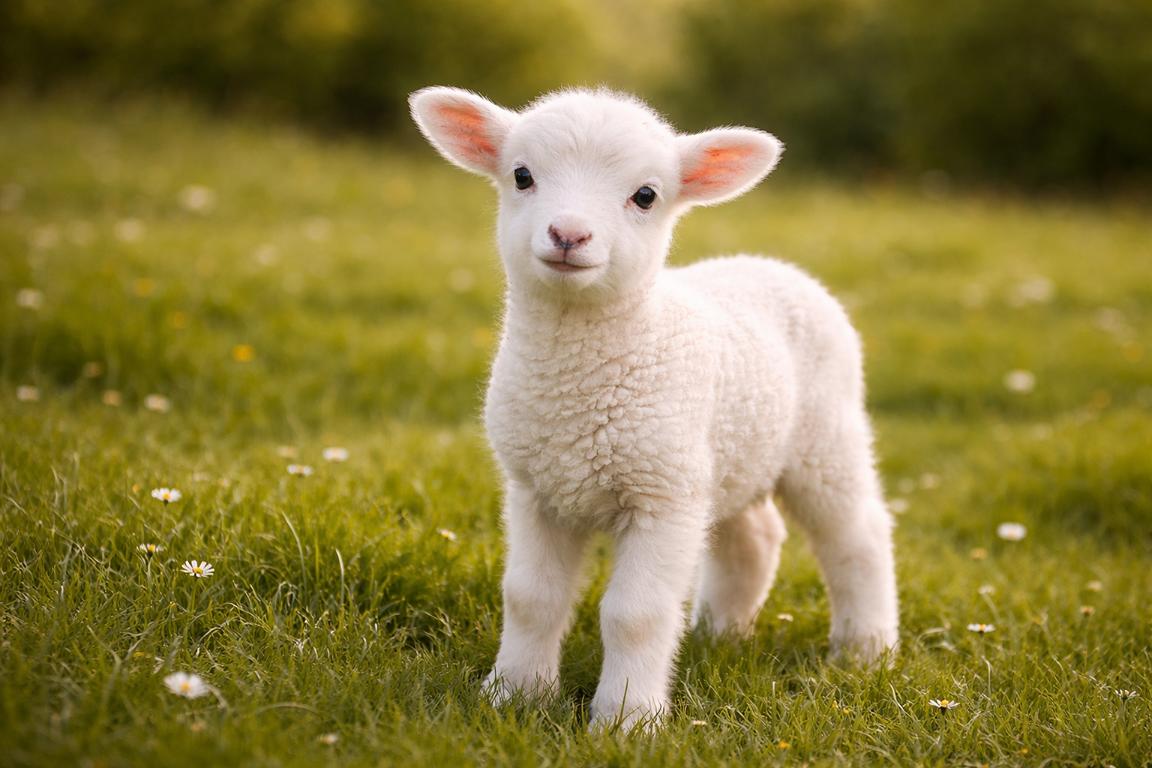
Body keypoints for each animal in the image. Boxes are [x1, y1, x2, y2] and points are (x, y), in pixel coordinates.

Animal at [409, 86, 899, 730]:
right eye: (521, 175)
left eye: (646, 196)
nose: (569, 234)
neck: (577, 387)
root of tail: (772, 264)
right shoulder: (539, 490)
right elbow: (530, 598)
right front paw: (513, 694)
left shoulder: (660, 497)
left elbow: (633, 614)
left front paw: (626, 720)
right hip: (722, 455)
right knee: (753, 537)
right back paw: (720, 634)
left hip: (824, 438)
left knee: (857, 534)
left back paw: (865, 651)